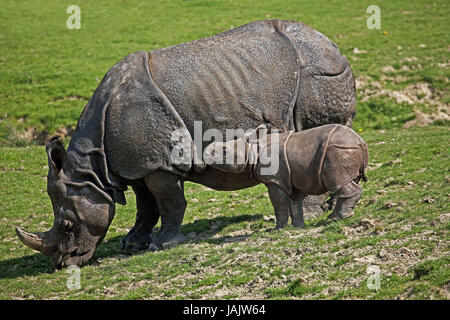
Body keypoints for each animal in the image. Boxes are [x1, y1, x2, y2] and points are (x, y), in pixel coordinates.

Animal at [205, 124, 370, 229]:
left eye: (224, 151)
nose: (205, 152)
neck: (253, 148)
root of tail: (361, 141)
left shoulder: (275, 180)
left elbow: (279, 204)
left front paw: (278, 229)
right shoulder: (292, 179)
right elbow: (295, 203)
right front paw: (298, 226)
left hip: (338, 150)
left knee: (337, 182)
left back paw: (337, 218)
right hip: (343, 149)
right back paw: (337, 216)